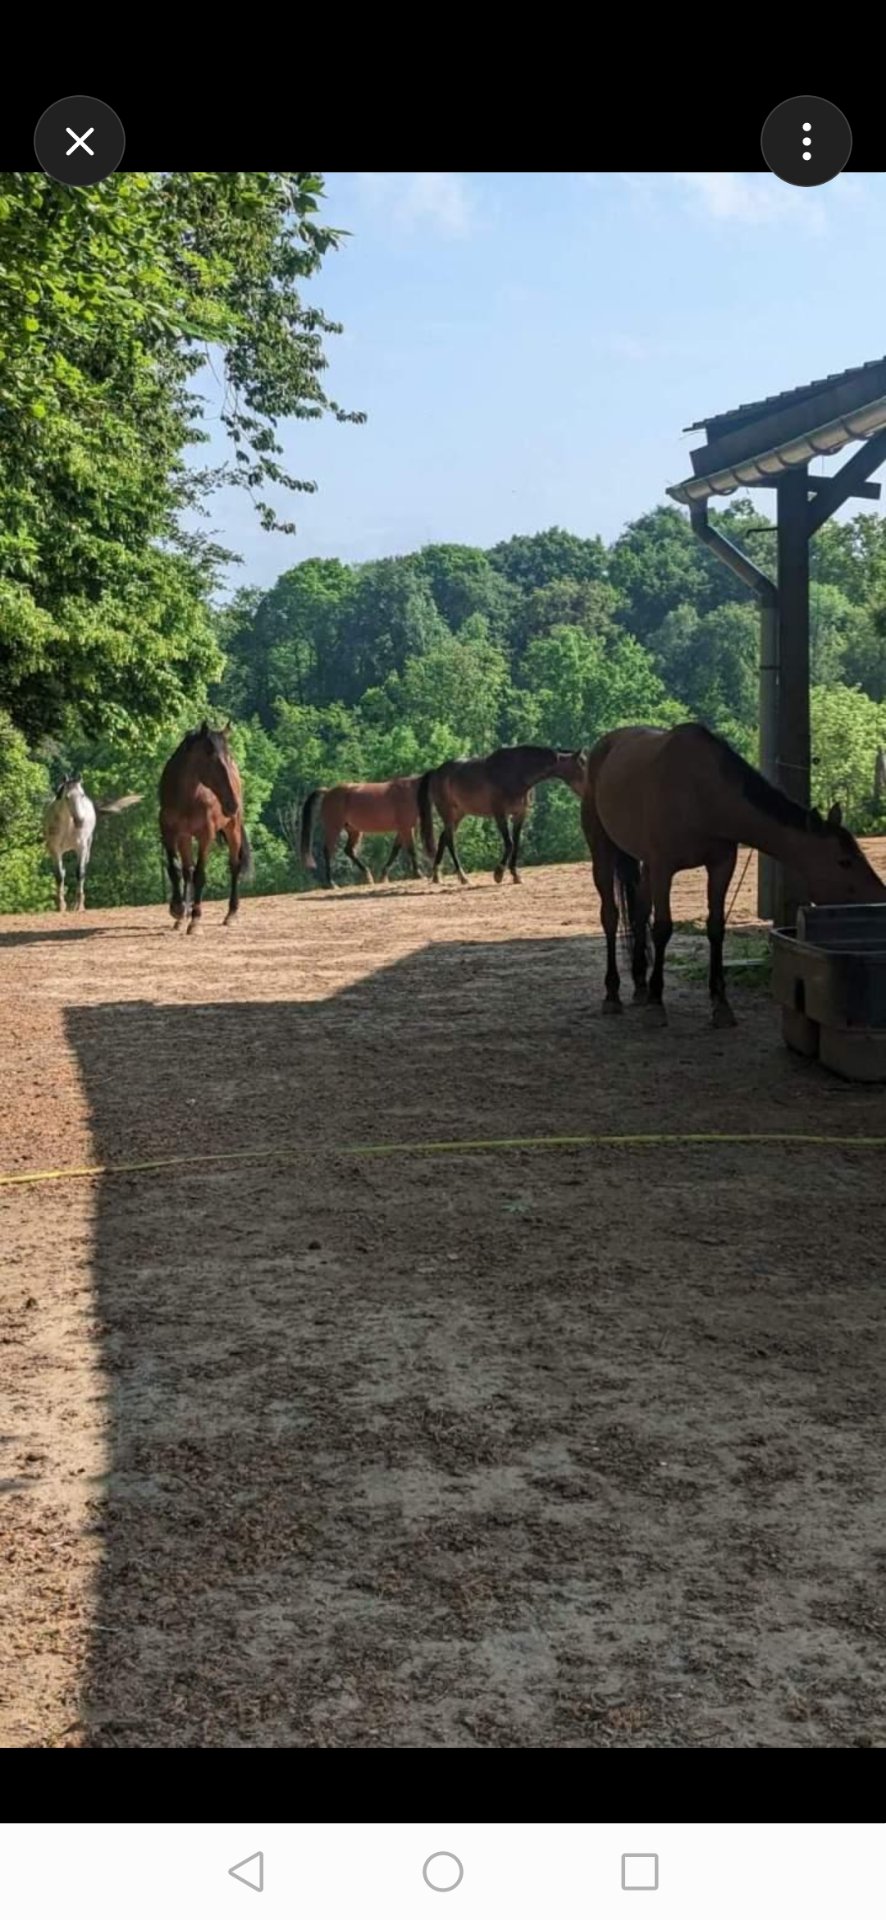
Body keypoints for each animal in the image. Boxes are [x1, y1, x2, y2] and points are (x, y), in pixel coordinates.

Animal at [43, 776, 142, 911]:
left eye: (82, 795)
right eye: (67, 797)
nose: (80, 821)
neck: (68, 826)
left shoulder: (81, 848)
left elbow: (80, 872)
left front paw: (79, 905)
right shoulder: (55, 850)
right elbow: (59, 875)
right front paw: (61, 905)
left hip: (87, 848)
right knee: (63, 872)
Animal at [158, 722, 252, 933]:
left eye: (227, 756)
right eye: (212, 758)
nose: (232, 804)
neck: (187, 798)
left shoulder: (205, 835)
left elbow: (200, 874)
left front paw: (195, 920)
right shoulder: (170, 833)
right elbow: (176, 869)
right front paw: (178, 909)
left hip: (233, 829)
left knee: (234, 865)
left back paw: (231, 914)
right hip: (185, 837)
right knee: (187, 870)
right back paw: (182, 917)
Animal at [417, 744, 587, 885]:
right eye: (581, 766)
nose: (588, 790)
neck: (516, 773)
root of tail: (436, 772)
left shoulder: (520, 815)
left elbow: (516, 843)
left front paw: (515, 875)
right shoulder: (500, 814)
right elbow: (510, 843)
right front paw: (498, 873)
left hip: (459, 814)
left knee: (443, 838)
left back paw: (436, 876)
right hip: (447, 813)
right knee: (450, 840)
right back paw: (463, 876)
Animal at [581, 721, 886, 1027]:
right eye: (844, 862)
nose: (878, 896)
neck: (700, 792)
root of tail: (604, 745)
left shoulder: (721, 865)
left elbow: (716, 927)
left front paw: (721, 1003)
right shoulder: (663, 868)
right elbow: (663, 928)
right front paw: (657, 1004)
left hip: (645, 866)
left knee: (640, 912)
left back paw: (640, 986)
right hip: (603, 851)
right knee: (611, 916)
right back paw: (613, 994)